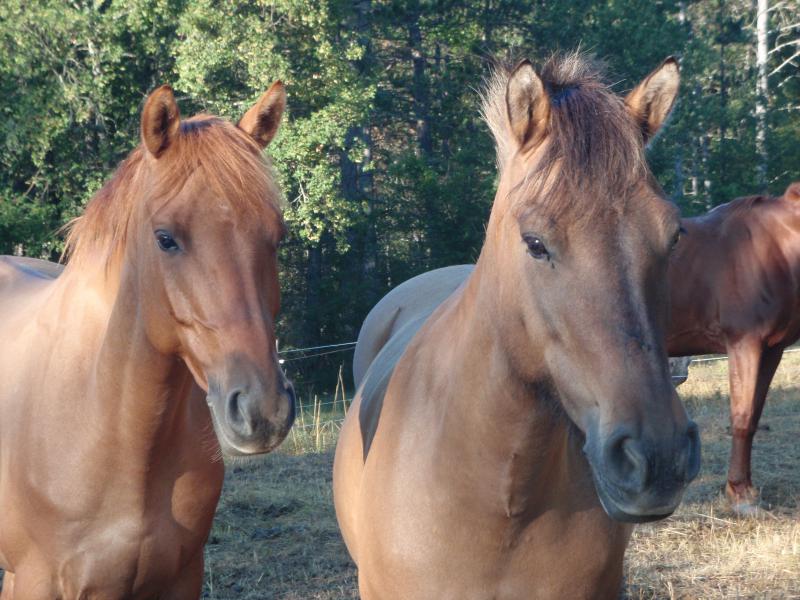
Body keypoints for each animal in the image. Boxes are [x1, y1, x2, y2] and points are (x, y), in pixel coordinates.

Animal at [664, 180, 800, 512]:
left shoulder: (772, 350)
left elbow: (754, 418)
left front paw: (746, 490)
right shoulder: (744, 343)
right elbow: (741, 416)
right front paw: (739, 497)